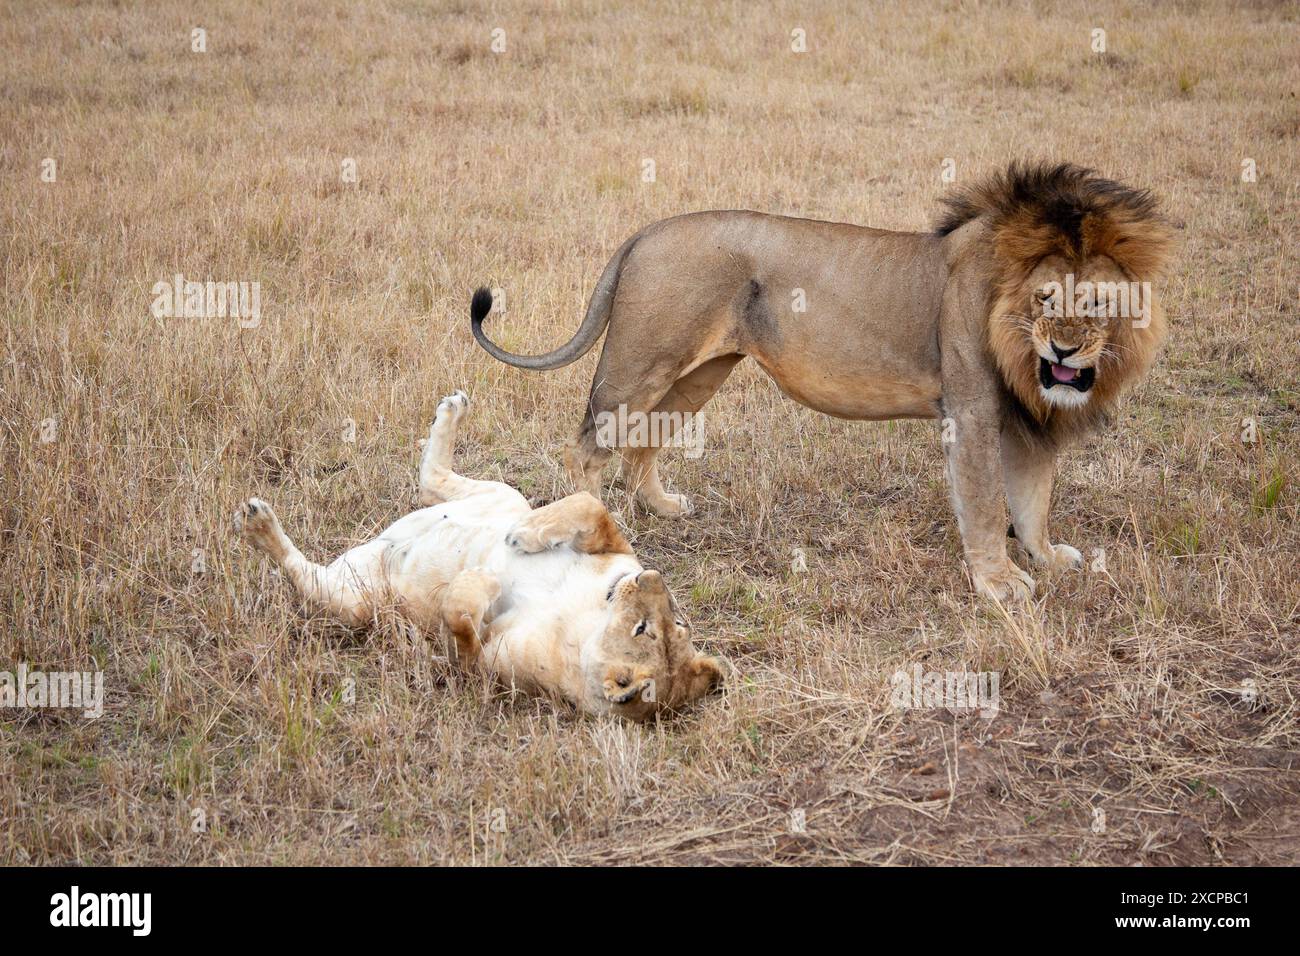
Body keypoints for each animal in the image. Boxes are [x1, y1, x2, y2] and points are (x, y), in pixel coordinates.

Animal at [233, 390, 724, 721]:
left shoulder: (488, 667)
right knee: (433, 481)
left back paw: (258, 524)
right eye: (676, 621)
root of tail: (377, 546)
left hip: (354, 602)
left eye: (646, 629)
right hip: (502, 493)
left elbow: (461, 623)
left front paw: (480, 583)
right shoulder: (616, 547)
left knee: (302, 573)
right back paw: (454, 410)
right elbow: (591, 505)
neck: (588, 618)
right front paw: (525, 536)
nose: (652, 578)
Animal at [471, 162, 1175, 601]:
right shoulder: (973, 411)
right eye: (1045, 298)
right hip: (643, 360)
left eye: (1097, 304)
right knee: (587, 446)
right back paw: (593, 534)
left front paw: (1046, 558)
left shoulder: (1030, 422)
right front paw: (999, 586)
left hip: (698, 372)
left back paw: (661, 506)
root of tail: (646, 230)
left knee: (643, 440)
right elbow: (984, 505)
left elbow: (1032, 502)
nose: (1064, 348)